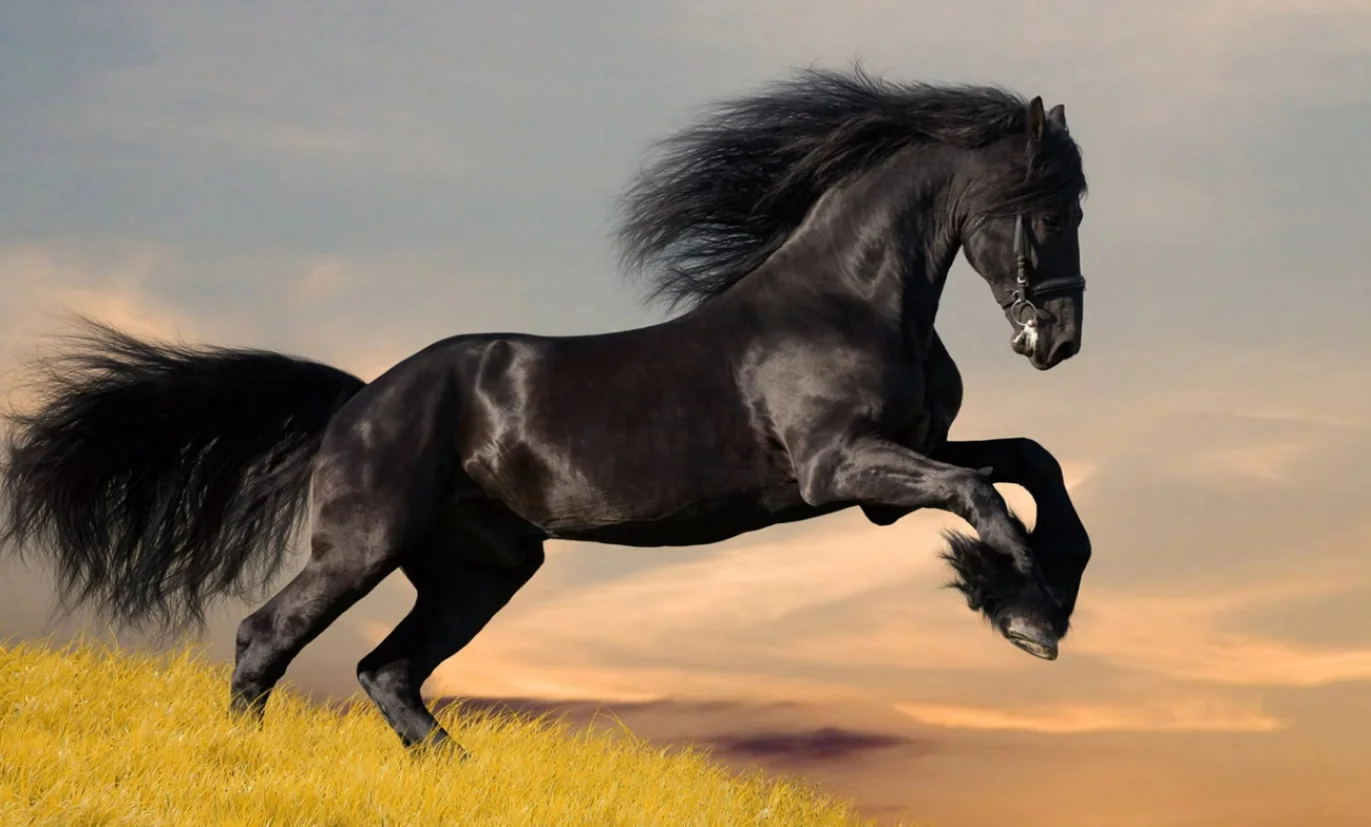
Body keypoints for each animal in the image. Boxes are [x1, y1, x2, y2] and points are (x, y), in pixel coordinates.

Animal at [0, 67, 1092, 753]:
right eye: (1048, 205)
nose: (1058, 340)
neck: (847, 298)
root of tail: (359, 400)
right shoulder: (842, 469)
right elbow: (982, 494)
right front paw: (1023, 610)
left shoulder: (898, 463)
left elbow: (1030, 462)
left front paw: (1042, 590)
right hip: (363, 544)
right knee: (268, 636)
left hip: (481, 568)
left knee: (387, 669)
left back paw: (458, 774)